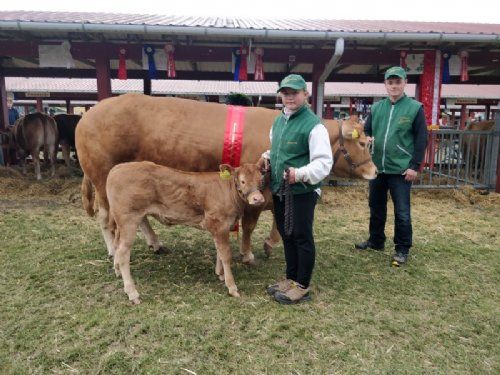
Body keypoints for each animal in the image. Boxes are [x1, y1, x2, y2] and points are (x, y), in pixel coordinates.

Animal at [77, 93, 376, 262]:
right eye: (363, 143)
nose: (374, 171)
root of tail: (89, 113)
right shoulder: (255, 195)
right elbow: (250, 226)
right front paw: (248, 253)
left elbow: (279, 222)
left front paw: (269, 245)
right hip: (103, 179)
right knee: (106, 218)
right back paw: (113, 250)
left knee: (139, 217)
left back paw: (155, 243)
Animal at [108, 162, 268, 306]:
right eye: (242, 181)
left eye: (261, 180)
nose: (258, 199)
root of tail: (117, 168)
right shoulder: (220, 224)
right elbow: (226, 255)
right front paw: (232, 287)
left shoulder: (220, 228)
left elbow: (219, 252)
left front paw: (220, 274)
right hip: (129, 219)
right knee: (123, 253)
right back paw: (132, 293)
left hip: (121, 223)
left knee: (116, 245)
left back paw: (117, 271)